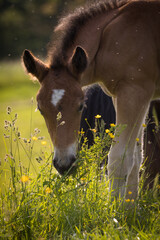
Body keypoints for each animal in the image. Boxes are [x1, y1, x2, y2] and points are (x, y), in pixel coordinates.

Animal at [22, 0, 160, 199]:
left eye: (81, 106)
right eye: (41, 109)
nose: (64, 165)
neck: (112, 37)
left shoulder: (134, 92)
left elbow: (119, 158)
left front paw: (116, 208)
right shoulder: (124, 97)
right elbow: (136, 158)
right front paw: (130, 206)